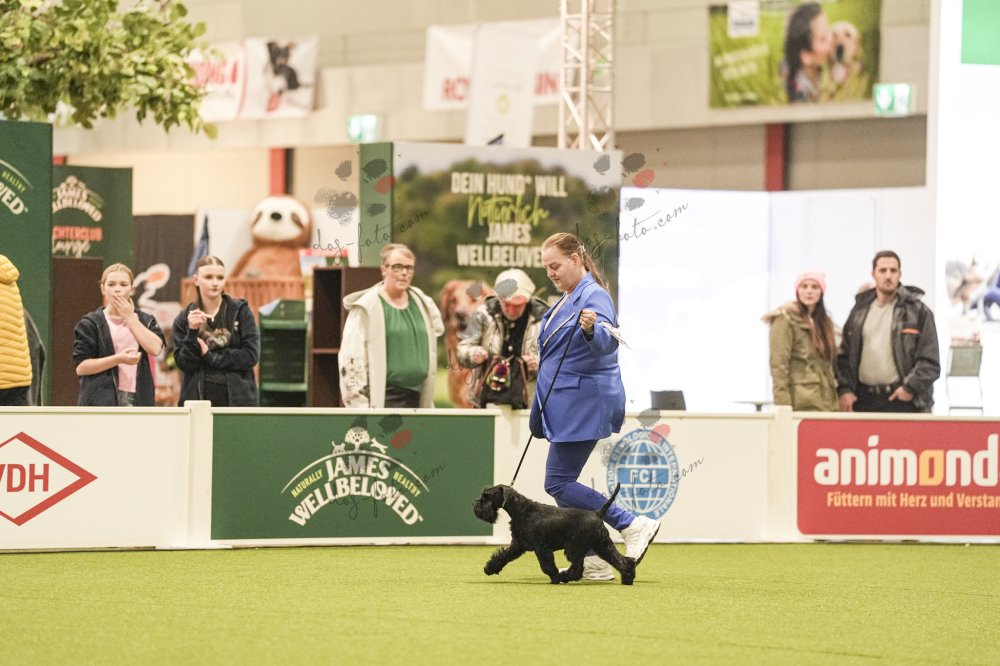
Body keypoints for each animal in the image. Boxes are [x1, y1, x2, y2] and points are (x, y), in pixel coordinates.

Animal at [472, 483, 636, 585]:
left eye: (487, 495)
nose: (475, 504)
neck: (522, 510)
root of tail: (597, 513)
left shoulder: (541, 547)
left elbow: (546, 565)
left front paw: (555, 577)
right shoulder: (518, 545)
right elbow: (502, 556)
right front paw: (490, 568)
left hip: (575, 548)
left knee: (578, 568)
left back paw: (564, 577)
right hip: (602, 545)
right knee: (621, 560)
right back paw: (628, 578)